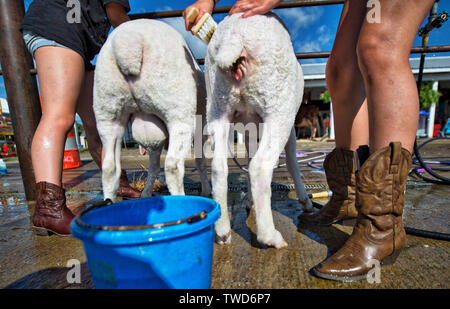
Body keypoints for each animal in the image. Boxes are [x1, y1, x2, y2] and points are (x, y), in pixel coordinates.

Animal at [92, 19, 211, 202]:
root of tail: (126, 43)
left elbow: (154, 166)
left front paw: (146, 192)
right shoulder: (201, 128)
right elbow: (200, 160)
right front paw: (206, 190)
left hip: (108, 110)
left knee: (109, 168)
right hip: (177, 110)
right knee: (173, 165)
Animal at [205, 12, 312, 248]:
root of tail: (235, 33)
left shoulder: (249, 128)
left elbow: (249, 156)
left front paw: (249, 201)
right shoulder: (289, 127)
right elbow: (291, 161)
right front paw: (305, 200)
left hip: (218, 105)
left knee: (218, 167)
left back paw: (223, 231)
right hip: (278, 103)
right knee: (260, 166)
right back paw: (270, 236)